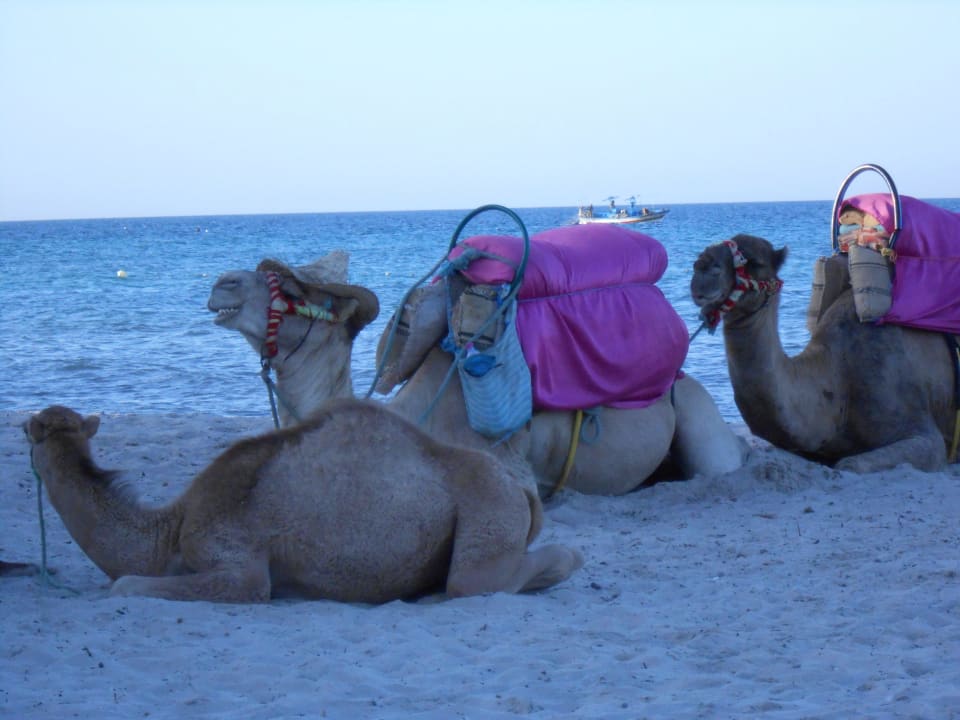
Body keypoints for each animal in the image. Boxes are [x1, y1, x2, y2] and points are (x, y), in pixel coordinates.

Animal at [23, 401, 583, 603]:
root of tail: (521, 490)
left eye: (30, 434)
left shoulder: (238, 561)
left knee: (476, 581)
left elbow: (126, 585)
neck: (171, 529)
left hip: (487, 509)